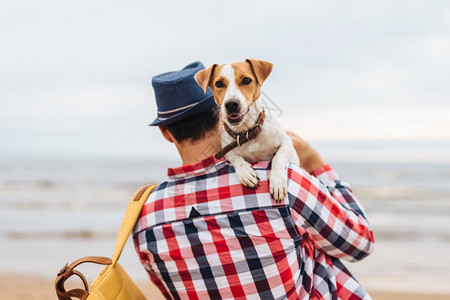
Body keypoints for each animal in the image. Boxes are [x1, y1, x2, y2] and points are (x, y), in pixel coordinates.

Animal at [196, 58, 298, 203]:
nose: (231, 104)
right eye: (219, 83)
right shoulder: (225, 149)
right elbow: (234, 157)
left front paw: (277, 182)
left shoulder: (286, 143)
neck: (247, 132)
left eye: (246, 80)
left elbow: (278, 157)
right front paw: (245, 172)